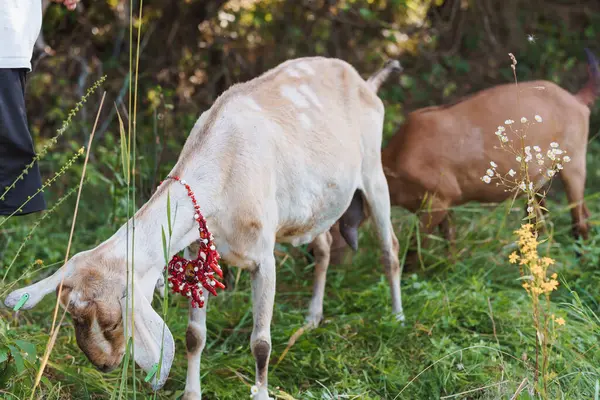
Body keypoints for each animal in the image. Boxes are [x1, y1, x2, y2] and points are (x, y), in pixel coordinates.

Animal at [5, 57, 404, 400]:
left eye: (111, 321)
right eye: (72, 316)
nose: (103, 365)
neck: (224, 169)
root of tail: (363, 81)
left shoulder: (264, 259)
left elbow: (261, 343)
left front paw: (260, 392)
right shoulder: (198, 250)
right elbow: (194, 335)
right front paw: (190, 392)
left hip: (375, 174)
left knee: (391, 250)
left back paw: (398, 317)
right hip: (313, 206)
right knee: (321, 248)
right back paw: (312, 318)